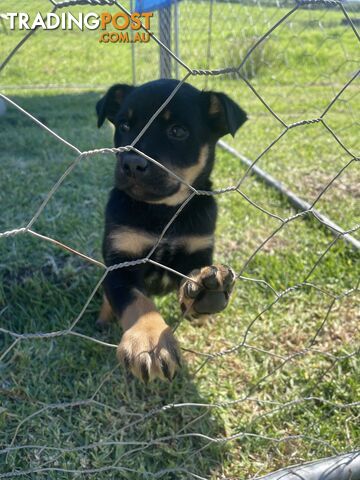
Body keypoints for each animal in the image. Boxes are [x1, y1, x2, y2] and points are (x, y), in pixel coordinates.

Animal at [95, 79, 248, 382]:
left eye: (178, 131)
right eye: (124, 126)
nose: (131, 163)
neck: (163, 212)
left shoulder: (198, 248)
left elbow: (195, 276)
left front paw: (205, 291)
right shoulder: (121, 262)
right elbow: (136, 300)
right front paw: (149, 340)